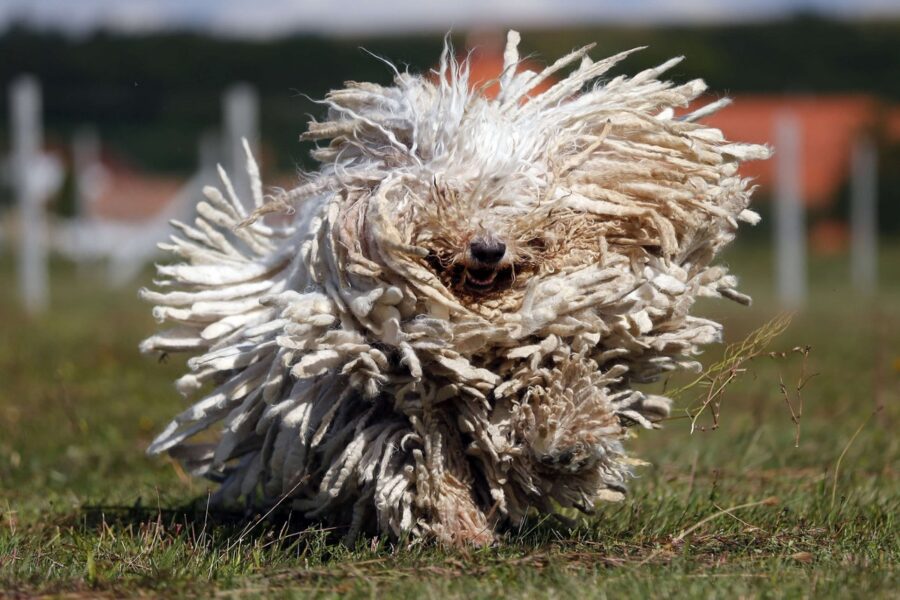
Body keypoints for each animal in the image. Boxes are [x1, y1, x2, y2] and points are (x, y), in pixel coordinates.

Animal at [141, 34, 768, 548]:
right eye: (443, 196)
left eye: (513, 200)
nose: (488, 248)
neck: (472, 335)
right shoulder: (398, 394)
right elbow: (422, 457)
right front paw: (457, 525)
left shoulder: (555, 344)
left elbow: (561, 391)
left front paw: (562, 440)